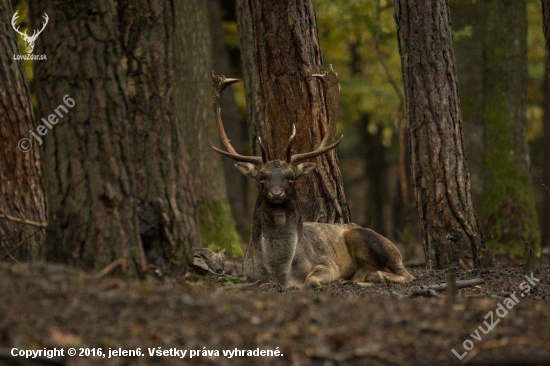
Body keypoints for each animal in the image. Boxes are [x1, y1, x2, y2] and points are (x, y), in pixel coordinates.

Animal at [210, 66, 414, 288]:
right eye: (262, 177)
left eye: (291, 177)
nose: (276, 193)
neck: (280, 271)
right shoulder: (250, 274)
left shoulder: (327, 264)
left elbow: (311, 281)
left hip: (369, 238)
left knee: (407, 274)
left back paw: (373, 276)